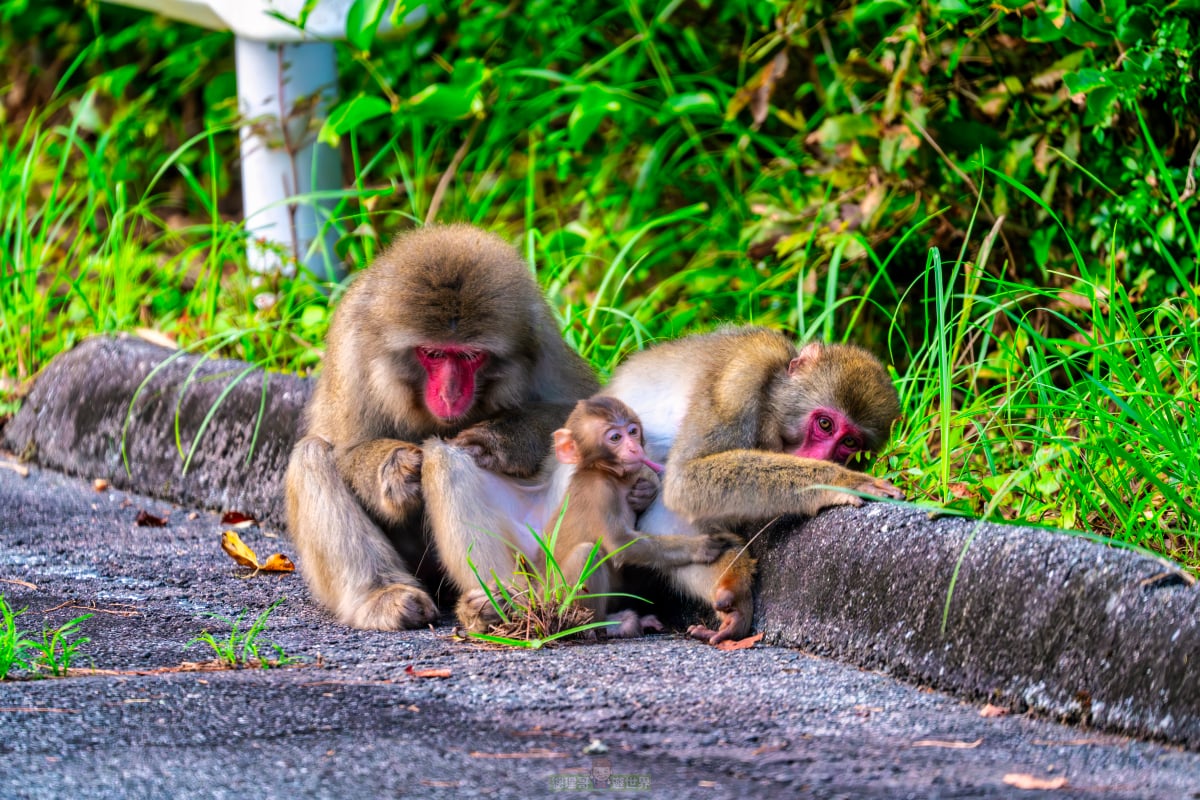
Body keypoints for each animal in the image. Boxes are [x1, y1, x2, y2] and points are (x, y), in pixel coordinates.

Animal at [282, 221, 600, 628]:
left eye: (469, 356)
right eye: (433, 354)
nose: (450, 395)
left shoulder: (542, 341)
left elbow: (581, 407)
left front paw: (496, 441)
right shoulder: (352, 352)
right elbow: (343, 449)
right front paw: (396, 467)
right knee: (312, 455)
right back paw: (383, 595)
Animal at [549, 395, 734, 638]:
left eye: (633, 431)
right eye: (615, 437)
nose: (634, 448)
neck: (605, 472)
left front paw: (645, 493)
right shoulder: (599, 492)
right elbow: (620, 545)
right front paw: (699, 546)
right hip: (557, 601)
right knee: (586, 552)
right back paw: (603, 627)